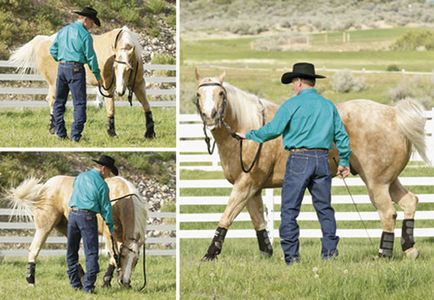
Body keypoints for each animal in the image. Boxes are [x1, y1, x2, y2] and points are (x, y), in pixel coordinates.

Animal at [7, 176, 147, 288]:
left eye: (136, 260)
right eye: (123, 257)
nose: (125, 282)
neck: (120, 198)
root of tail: (46, 185)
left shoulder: (119, 237)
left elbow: (113, 258)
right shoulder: (109, 235)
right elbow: (113, 256)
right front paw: (106, 283)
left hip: (65, 227)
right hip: (45, 227)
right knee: (34, 249)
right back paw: (31, 280)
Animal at [8, 26, 155, 138]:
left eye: (129, 68)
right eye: (114, 67)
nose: (120, 91)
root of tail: (44, 40)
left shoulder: (138, 85)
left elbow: (146, 106)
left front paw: (150, 133)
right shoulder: (108, 86)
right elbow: (111, 108)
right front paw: (111, 132)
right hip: (55, 83)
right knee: (52, 100)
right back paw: (54, 128)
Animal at [195, 69, 428, 260]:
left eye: (221, 93)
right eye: (198, 95)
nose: (210, 116)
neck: (245, 132)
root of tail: (394, 115)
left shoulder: (246, 185)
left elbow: (227, 217)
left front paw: (209, 254)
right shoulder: (253, 188)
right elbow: (259, 222)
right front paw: (267, 253)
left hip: (376, 183)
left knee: (388, 213)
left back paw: (383, 255)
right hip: (389, 180)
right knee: (409, 202)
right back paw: (410, 249)